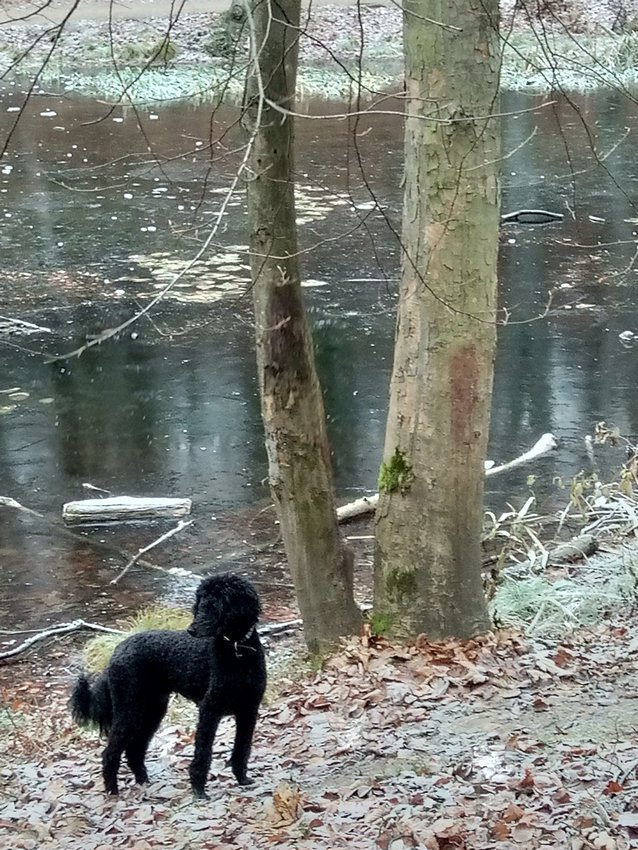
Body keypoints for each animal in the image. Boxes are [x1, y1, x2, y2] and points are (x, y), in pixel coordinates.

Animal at [70, 572, 268, 800]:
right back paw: (113, 790)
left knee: (134, 750)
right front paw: (199, 790)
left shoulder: (249, 710)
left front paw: (242, 779)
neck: (237, 651)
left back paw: (143, 781)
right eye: (200, 604)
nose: (191, 630)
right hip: (129, 709)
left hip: (151, 710)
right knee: (110, 753)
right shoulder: (209, 710)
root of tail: (117, 652)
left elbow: (242, 748)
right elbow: (203, 752)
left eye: (214, 606)